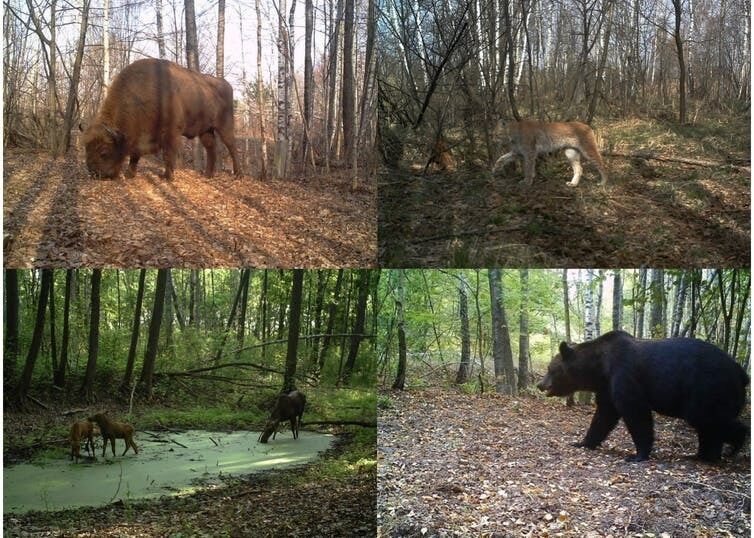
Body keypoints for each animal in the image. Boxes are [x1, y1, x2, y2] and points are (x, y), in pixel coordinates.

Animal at [537, 330, 749, 462]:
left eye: (550, 368)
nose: (540, 384)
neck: (600, 367)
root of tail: (742, 373)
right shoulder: (607, 386)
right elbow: (604, 415)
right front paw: (582, 442)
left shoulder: (624, 373)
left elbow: (635, 411)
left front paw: (637, 455)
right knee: (708, 424)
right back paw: (704, 454)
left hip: (708, 388)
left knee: (708, 420)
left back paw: (729, 447)